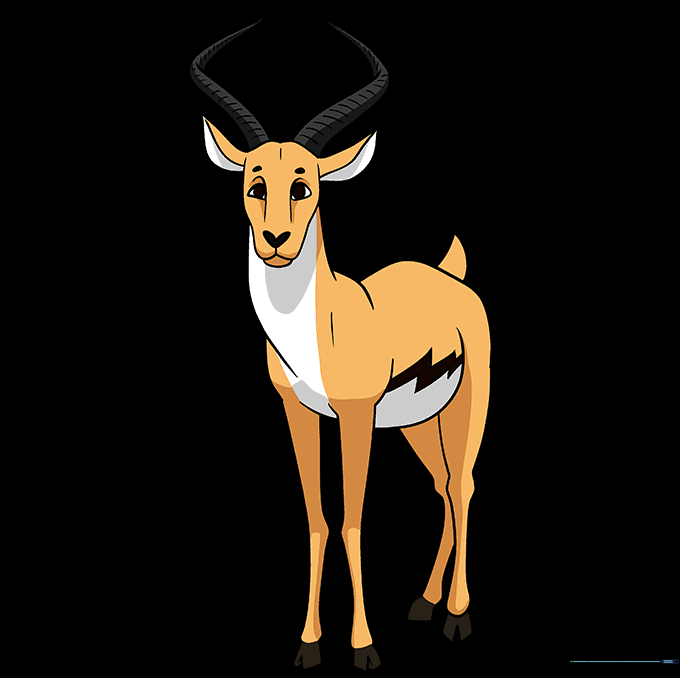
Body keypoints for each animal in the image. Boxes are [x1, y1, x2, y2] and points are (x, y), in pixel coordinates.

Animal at [190, 20, 490, 670]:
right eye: (255, 184)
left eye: (306, 186)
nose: (276, 239)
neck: (319, 328)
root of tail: (449, 275)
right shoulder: (298, 412)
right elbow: (317, 520)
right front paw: (308, 644)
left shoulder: (354, 417)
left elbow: (353, 519)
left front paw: (363, 646)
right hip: (414, 424)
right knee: (441, 489)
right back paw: (424, 603)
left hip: (466, 406)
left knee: (464, 485)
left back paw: (457, 616)